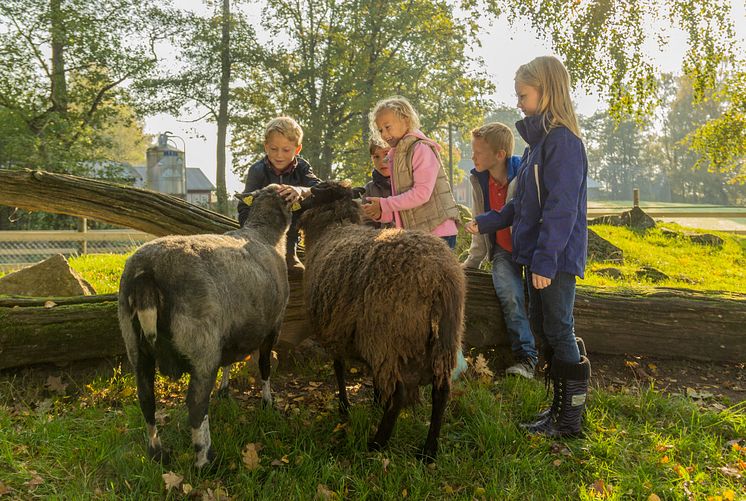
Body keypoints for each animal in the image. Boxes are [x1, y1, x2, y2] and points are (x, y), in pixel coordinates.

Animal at [117, 184, 290, 468]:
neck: (265, 234)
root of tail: (146, 273)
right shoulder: (272, 327)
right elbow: (264, 367)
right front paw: (268, 402)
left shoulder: (232, 332)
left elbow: (229, 360)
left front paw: (225, 390)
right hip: (201, 346)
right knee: (196, 405)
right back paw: (204, 459)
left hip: (135, 345)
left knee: (146, 399)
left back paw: (157, 453)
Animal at [298, 180, 464, 460]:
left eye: (315, 193)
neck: (334, 225)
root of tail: (439, 277)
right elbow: (371, 375)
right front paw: (375, 401)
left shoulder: (335, 331)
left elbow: (339, 368)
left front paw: (344, 406)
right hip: (443, 338)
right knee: (441, 391)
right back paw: (428, 451)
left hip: (387, 335)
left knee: (399, 393)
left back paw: (377, 443)